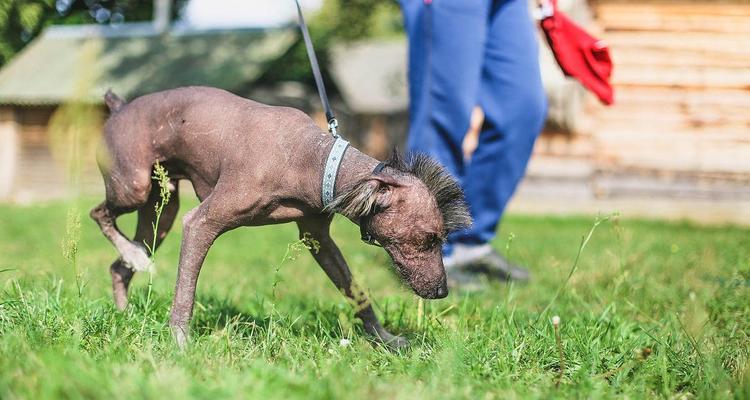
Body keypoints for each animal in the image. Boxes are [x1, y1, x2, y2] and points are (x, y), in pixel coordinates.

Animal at [91, 86, 470, 348]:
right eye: (429, 238)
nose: (442, 291)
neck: (314, 159)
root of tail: (120, 105)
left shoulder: (319, 240)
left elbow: (357, 292)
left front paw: (384, 339)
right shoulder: (199, 223)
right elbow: (185, 292)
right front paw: (181, 344)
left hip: (161, 213)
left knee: (118, 267)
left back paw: (126, 305)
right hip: (134, 188)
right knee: (99, 213)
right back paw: (131, 255)